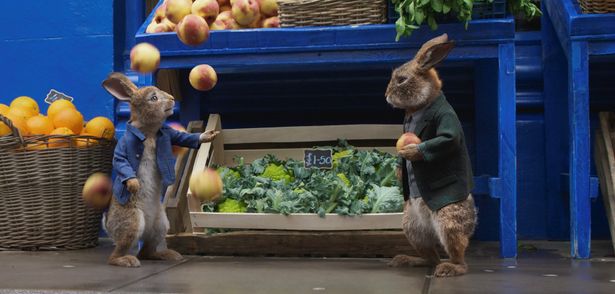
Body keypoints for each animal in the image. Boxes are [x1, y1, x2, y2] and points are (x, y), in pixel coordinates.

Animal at [103, 72, 221, 268]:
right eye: (153, 98)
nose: (172, 99)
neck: (149, 131)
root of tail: (108, 227)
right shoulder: (124, 147)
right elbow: (121, 161)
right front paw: (134, 184)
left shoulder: (170, 134)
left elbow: (184, 137)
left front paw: (208, 135)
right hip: (132, 223)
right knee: (116, 255)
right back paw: (127, 260)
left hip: (161, 225)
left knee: (147, 251)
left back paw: (169, 255)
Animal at [388, 34, 478, 278]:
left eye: (401, 80)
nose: (386, 95)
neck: (421, 107)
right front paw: (398, 172)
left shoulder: (447, 122)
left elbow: (445, 141)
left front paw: (411, 152)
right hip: (412, 228)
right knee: (430, 256)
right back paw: (407, 260)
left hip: (448, 223)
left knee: (459, 258)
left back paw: (448, 268)